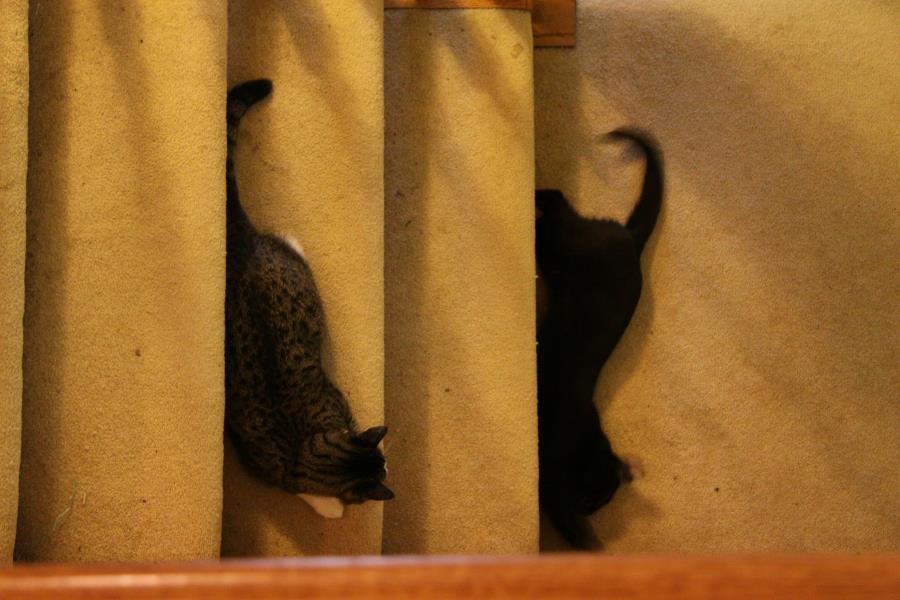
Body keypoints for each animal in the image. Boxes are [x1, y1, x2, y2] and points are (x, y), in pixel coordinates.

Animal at [224, 79, 393, 519]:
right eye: (383, 467)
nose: (388, 467)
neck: (303, 450)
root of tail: (241, 243)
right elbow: (315, 499)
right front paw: (333, 508)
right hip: (295, 266)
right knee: (290, 244)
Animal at [536, 128, 662, 548]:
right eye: (594, 499)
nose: (588, 510)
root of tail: (632, 240)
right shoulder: (551, 479)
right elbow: (572, 529)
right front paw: (591, 547)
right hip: (568, 244)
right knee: (557, 202)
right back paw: (534, 195)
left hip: (560, 257)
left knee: (558, 209)